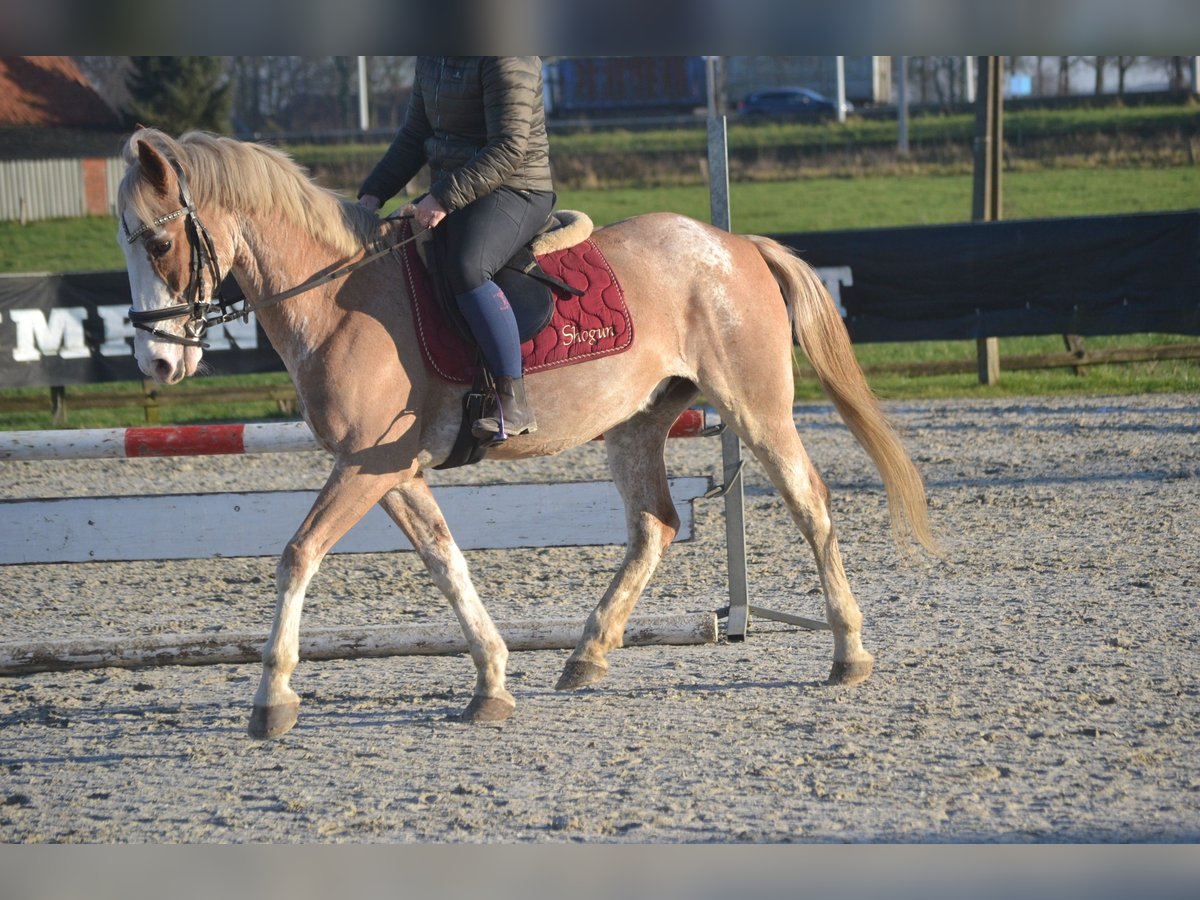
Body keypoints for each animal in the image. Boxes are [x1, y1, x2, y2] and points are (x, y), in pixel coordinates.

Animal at [114, 127, 936, 739]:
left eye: (157, 244)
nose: (157, 361)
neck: (339, 299)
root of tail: (734, 245)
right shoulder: (390, 471)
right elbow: (445, 561)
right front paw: (490, 680)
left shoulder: (370, 465)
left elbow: (297, 555)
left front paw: (272, 698)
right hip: (636, 424)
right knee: (656, 525)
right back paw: (588, 654)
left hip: (755, 408)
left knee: (809, 503)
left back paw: (848, 652)